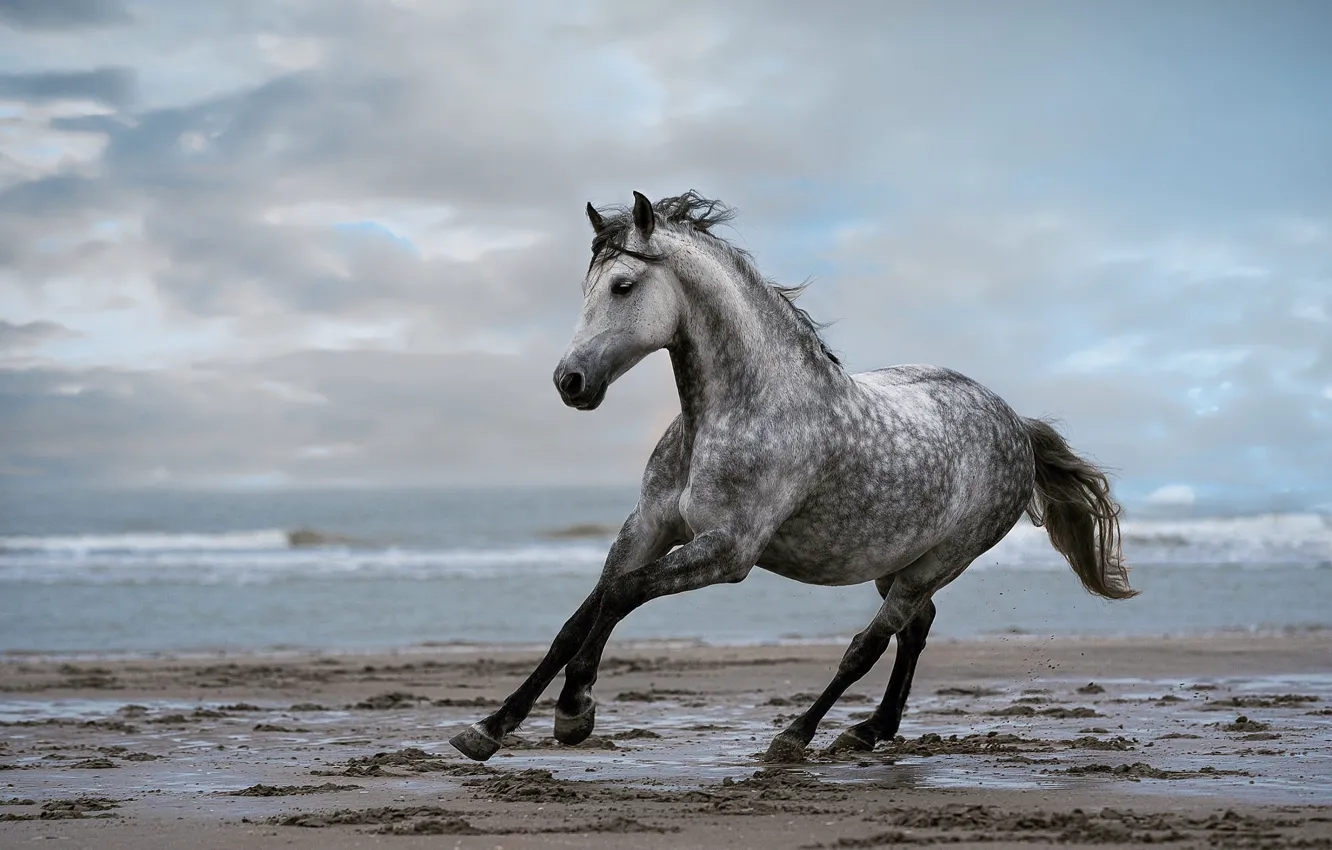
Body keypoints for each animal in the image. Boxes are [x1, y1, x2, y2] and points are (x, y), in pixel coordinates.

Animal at [450, 190, 1136, 764]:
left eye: (623, 285)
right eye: (586, 288)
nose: (570, 382)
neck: (741, 409)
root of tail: (1015, 423)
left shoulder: (729, 552)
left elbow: (622, 595)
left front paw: (575, 711)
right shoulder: (648, 525)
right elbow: (580, 617)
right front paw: (489, 728)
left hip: (937, 562)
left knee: (870, 643)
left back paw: (798, 735)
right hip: (896, 559)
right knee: (915, 630)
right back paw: (870, 730)